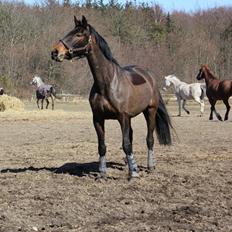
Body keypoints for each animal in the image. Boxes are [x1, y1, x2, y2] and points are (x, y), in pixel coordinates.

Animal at [51, 15, 172, 179]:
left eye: (78, 34)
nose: (55, 52)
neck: (106, 83)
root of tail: (149, 76)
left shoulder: (123, 117)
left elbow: (126, 144)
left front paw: (133, 175)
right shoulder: (98, 119)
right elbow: (102, 146)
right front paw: (102, 174)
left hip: (150, 111)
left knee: (149, 139)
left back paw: (149, 166)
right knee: (131, 137)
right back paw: (131, 164)